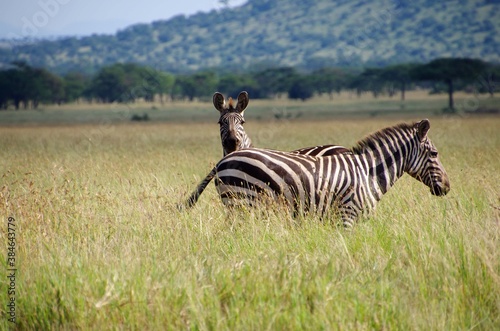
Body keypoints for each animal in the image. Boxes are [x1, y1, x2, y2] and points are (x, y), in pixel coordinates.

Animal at [214, 119, 450, 228]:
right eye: (435, 153)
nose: (447, 187)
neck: (368, 172)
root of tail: (222, 161)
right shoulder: (347, 214)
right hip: (242, 202)